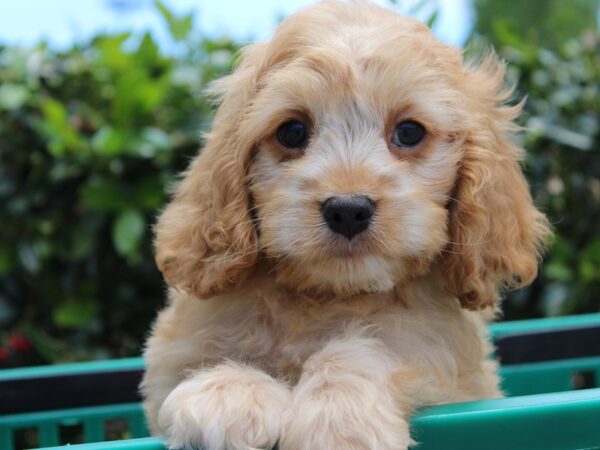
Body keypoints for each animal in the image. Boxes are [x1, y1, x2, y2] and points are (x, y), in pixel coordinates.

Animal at [139, 1, 548, 448]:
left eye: (409, 132)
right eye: (292, 131)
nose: (348, 210)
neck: (329, 294)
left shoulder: (447, 362)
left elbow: (372, 346)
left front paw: (338, 422)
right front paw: (228, 393)